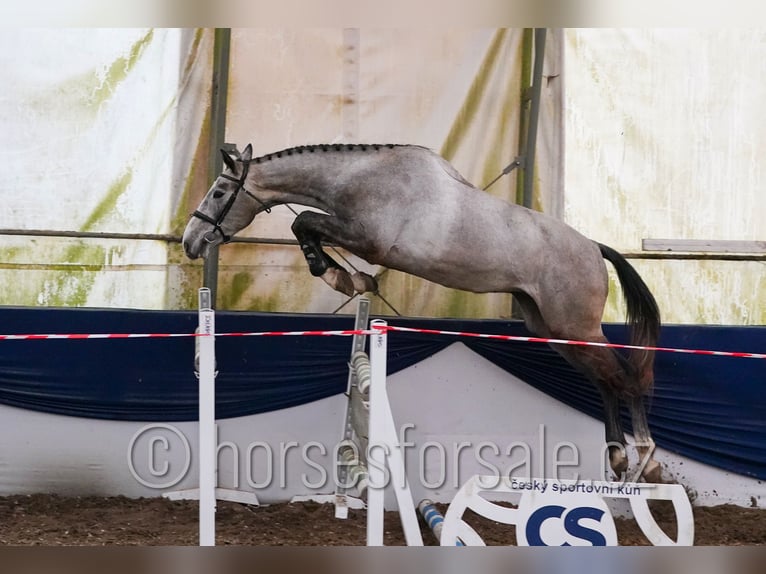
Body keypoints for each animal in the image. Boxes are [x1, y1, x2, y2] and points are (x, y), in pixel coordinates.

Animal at [182, 142, 663, 483]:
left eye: (220, 192)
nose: (190, 241)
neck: (362, 178)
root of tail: (593, 248)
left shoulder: (369, 240)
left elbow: (302, 222)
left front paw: (344, 279)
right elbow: (305, 225)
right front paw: (351, 281)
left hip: (575, 326)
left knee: (625, 376)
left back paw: (647, 459)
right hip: (551, 329)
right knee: (604, 381)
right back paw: (618, 458)